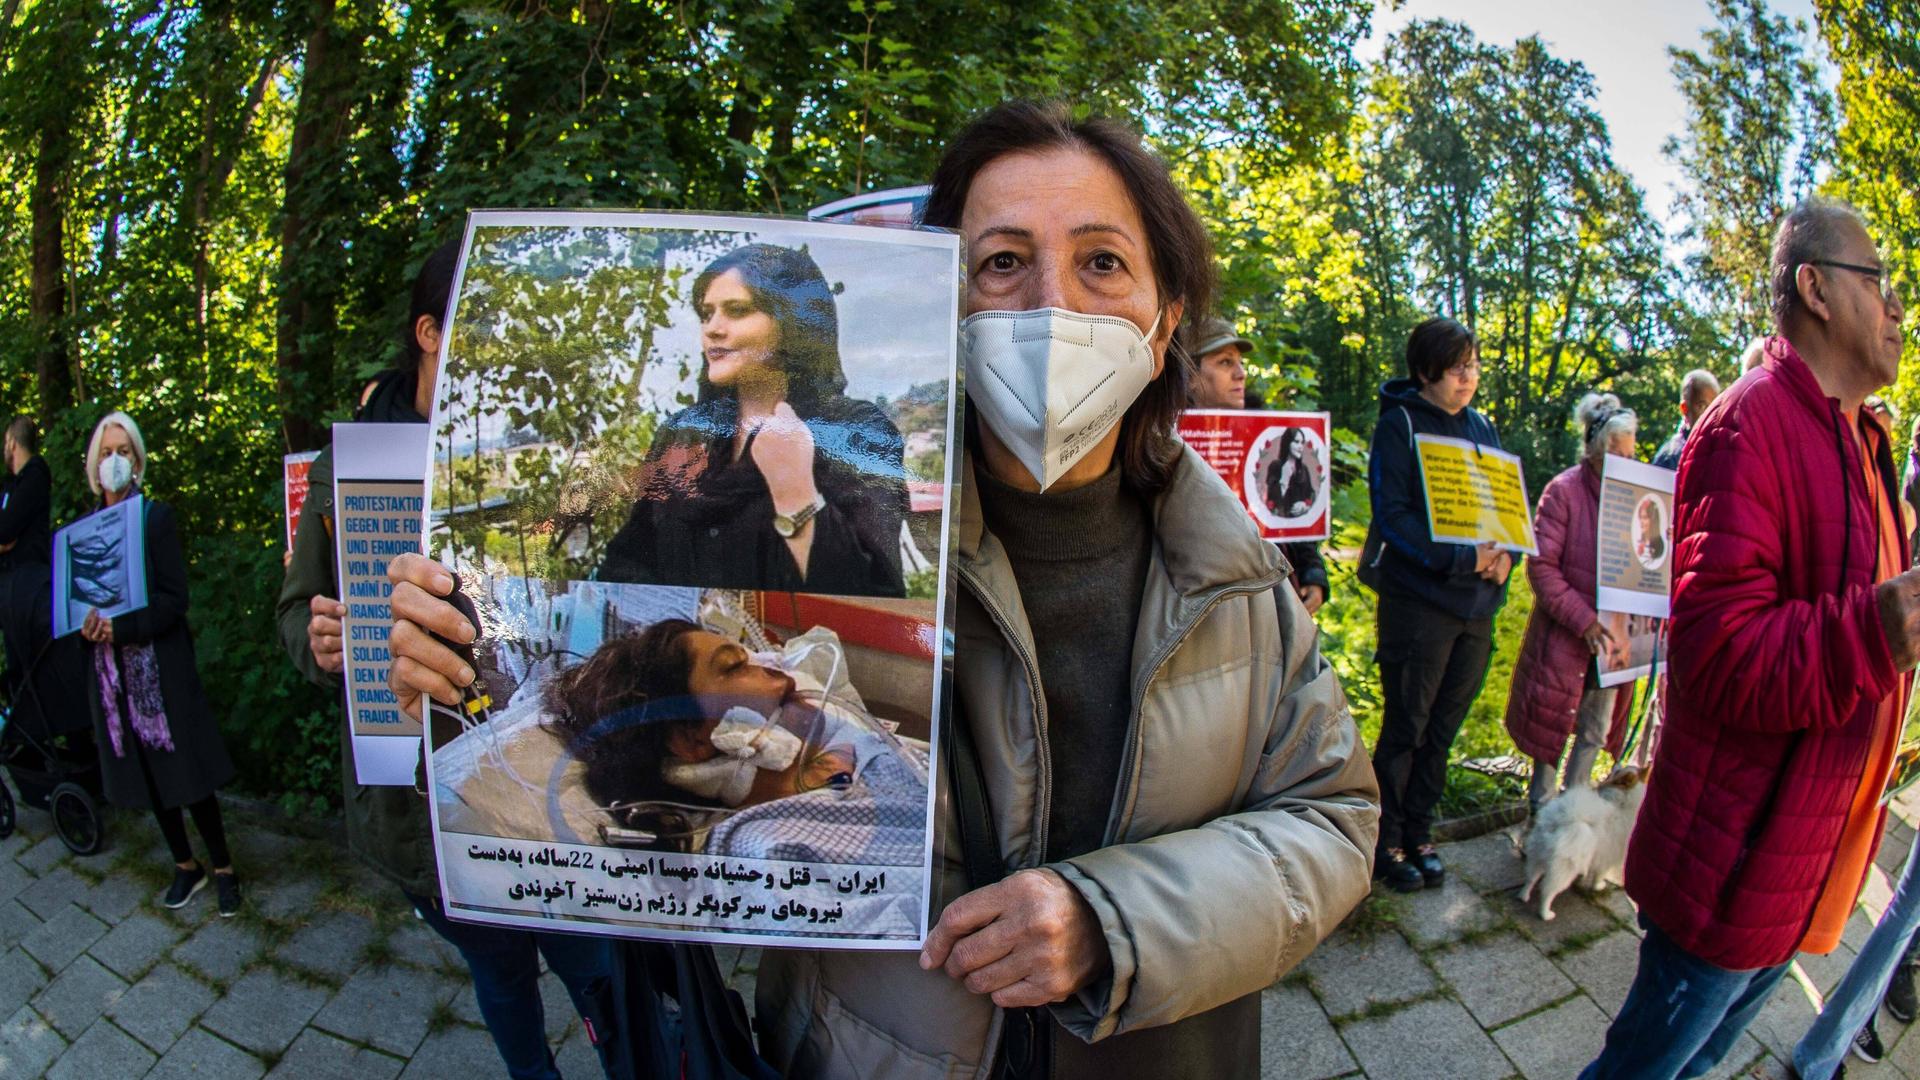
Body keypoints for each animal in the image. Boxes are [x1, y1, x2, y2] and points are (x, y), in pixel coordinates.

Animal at [1520, 764, 1643, 914]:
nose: (1617, 765)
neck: (1622, 803)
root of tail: (1560, 821)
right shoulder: (1609, 856)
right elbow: (1600, 874)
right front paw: (1599, 886)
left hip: (1537, 855)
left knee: (1531, 877)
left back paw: (1523, 895)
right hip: (1564, 868)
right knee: (1548, 892)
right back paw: (1545, 913)